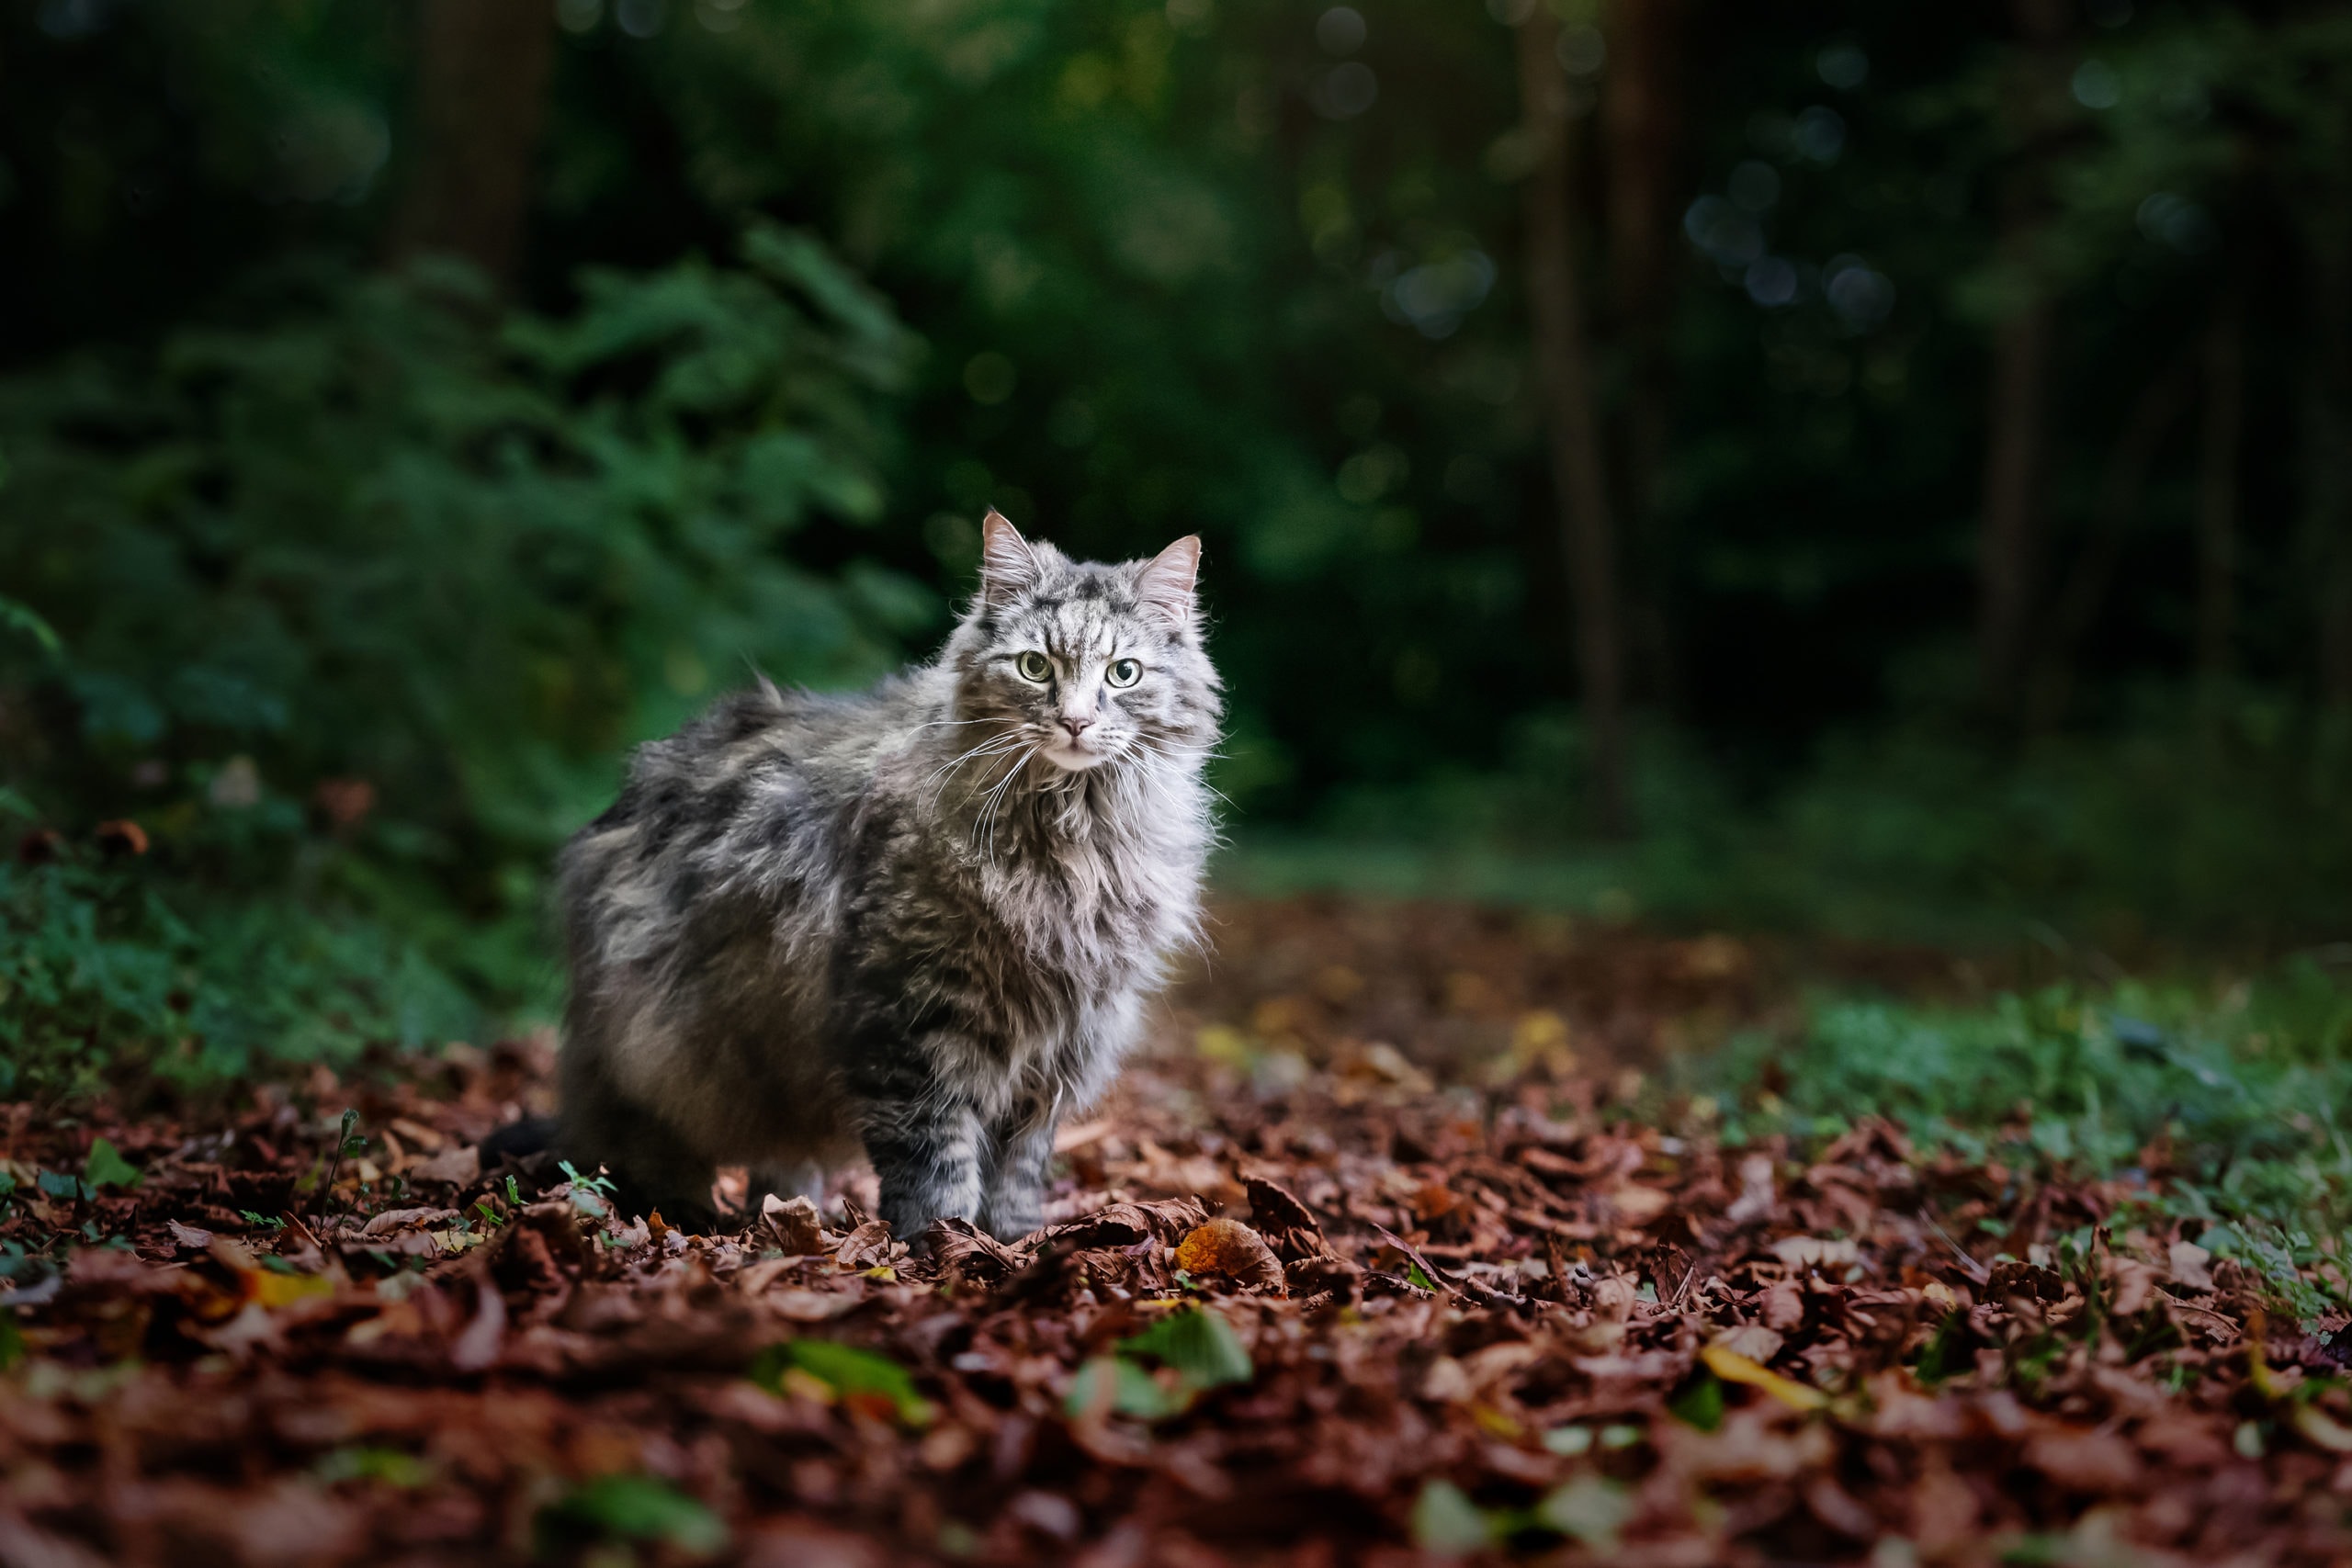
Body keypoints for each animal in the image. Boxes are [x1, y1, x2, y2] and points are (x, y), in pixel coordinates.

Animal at [543, 510, 1223, 1241]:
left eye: (1123, 673)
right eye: (1035, 666)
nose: (1075, 721)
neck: (1069, 836)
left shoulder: (1056, 1047)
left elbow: (1018, 1167)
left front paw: (1012, 1241)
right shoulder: (910, 1018)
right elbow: (936, 1160)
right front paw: (943, 1244)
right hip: (656, 1050)